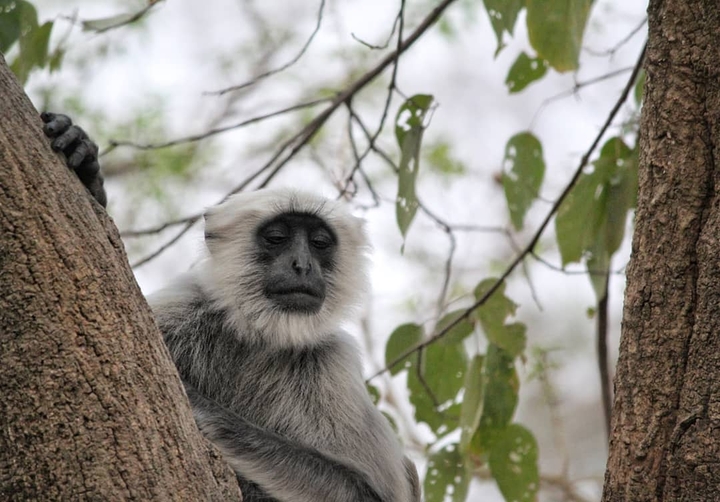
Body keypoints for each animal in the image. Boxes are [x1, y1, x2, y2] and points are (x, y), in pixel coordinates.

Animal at [41, 113, 422, 502]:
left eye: (318, 243)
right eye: (276, 238)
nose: (302, 265)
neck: (260, 336)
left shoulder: (333, 363)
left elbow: (364, 491)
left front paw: (198, 404)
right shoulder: (181, 309)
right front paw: (88, 173)